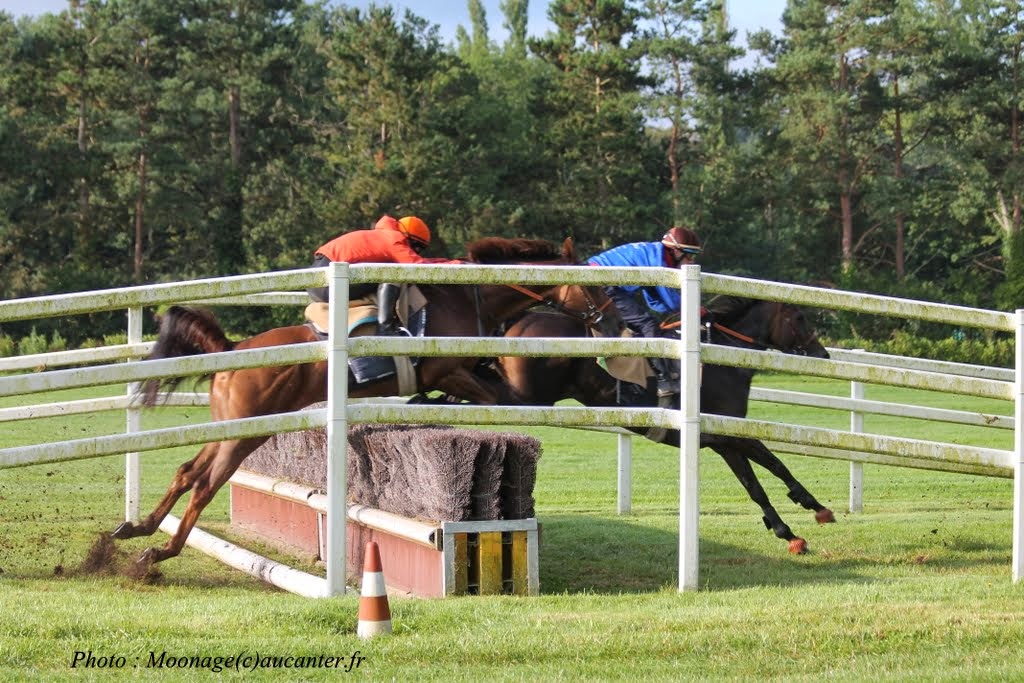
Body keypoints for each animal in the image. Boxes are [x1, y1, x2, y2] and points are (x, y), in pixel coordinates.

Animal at [115, 237, 618, 565]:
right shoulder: (448, 368)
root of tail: (233, 349)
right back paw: (161, 551)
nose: (614, 324)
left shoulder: (463, 371)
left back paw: (139, 528)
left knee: (187, 472)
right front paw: (430, 404)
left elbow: (490, 390)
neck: (467, 297)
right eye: (594, 285)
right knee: (204, 485)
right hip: (248, 432)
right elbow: (497, 396)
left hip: (233, 428)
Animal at [452, 299, 835, 557]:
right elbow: (769, 473)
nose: (823, 354)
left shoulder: (722, 441)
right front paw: (803, 517)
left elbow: (764, 477)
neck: (719, 360)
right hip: (525, 395)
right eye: (799, 317)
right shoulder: (727, 434)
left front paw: (798, 520)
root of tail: (520, 320)